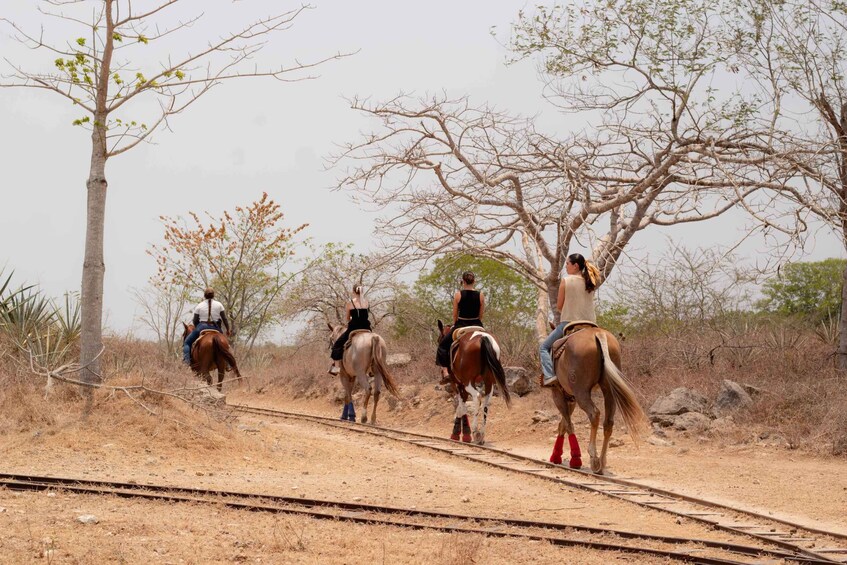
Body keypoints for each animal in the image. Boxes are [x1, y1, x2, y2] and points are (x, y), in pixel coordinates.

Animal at [547, 323, 648, 474]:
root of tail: (599, 334)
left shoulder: (558, 393)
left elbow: (568, 424)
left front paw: (569, 458)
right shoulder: (571, 398)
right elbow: (563, 423)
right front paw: (557, 455)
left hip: (581, 391)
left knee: (594, 414)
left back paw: (592, 458)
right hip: (608, 389)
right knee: (608, 422)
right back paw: (602, 462)